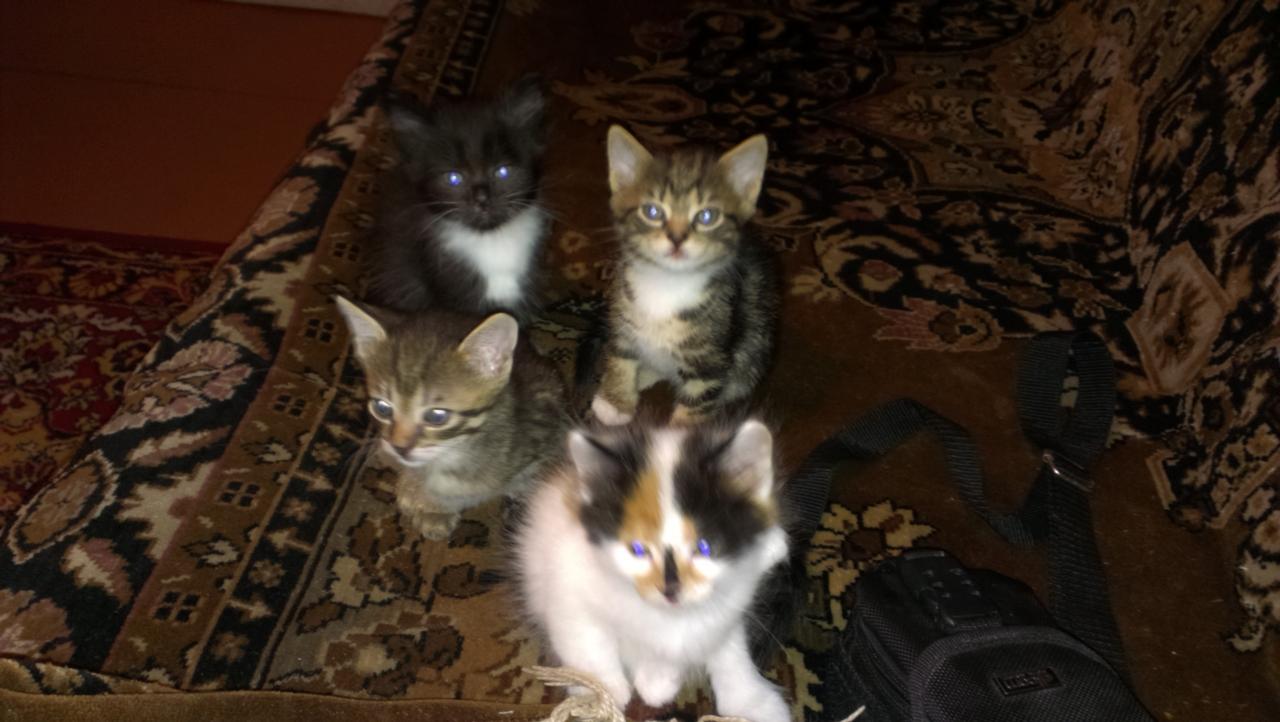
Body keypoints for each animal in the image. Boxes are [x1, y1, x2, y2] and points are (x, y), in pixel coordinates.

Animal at [515, 418, 792, 722]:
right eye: (638, 549)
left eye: (704, 547)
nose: (669, 589)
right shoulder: (568, 584)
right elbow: (587, 643)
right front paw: (602, 694)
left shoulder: (729, 606)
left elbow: (726, 650)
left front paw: (753, 702)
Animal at [591, 125, 778, 426]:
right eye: (652, 211)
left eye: (707, 216)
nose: (677, 239)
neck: (666, 284)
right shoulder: (623, 311)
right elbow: (621, 353)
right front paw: (614, 401)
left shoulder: (711, 357)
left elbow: (697, 402)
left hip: (754, 350)